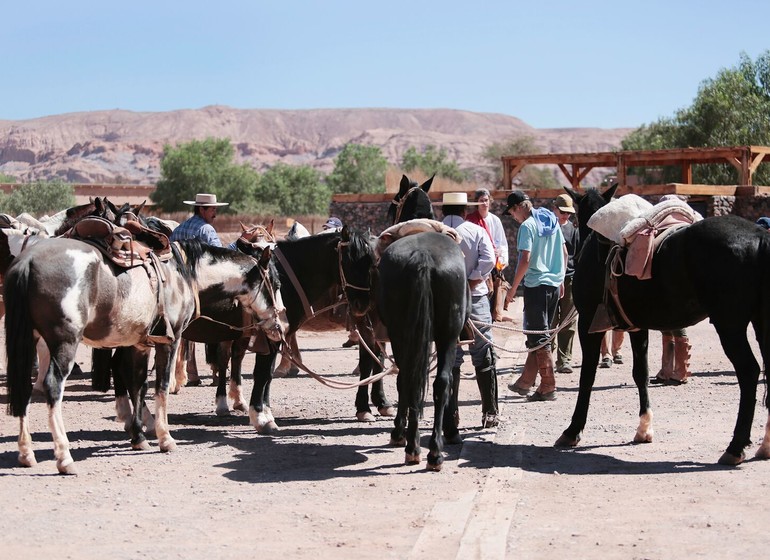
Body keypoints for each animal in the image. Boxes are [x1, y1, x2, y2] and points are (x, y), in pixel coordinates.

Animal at [3, 236, 284, 472]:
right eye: (276, 283)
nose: (279, 322)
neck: (181, 274)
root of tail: (28, 261)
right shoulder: (170, 341)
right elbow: (161, 386)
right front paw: (165, 438)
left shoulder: (139, 345)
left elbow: (138, 385)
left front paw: (138, 437)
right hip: (65, 343)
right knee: (52, 386)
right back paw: (64, 457)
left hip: (28, 340)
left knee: (23, 387)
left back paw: (26, 453)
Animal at [376, 174, 468, 468]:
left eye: (393, 204)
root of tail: (423, 257)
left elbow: (404, 379)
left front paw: (400, 431)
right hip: (448, 333)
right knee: (442, 382)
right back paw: (435, 451)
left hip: (402, 332)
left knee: (408, 377)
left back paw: (412, 445)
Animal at [556, 185, 768, 468]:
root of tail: (759, 236)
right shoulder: (637, 328)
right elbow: (640, 373)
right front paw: (644, 429)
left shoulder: (589, 326)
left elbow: (587, 377)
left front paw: (573, 430)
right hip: (761, 322)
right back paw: (765, 445)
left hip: (730, 325)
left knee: (748, 371)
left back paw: (735, 448)